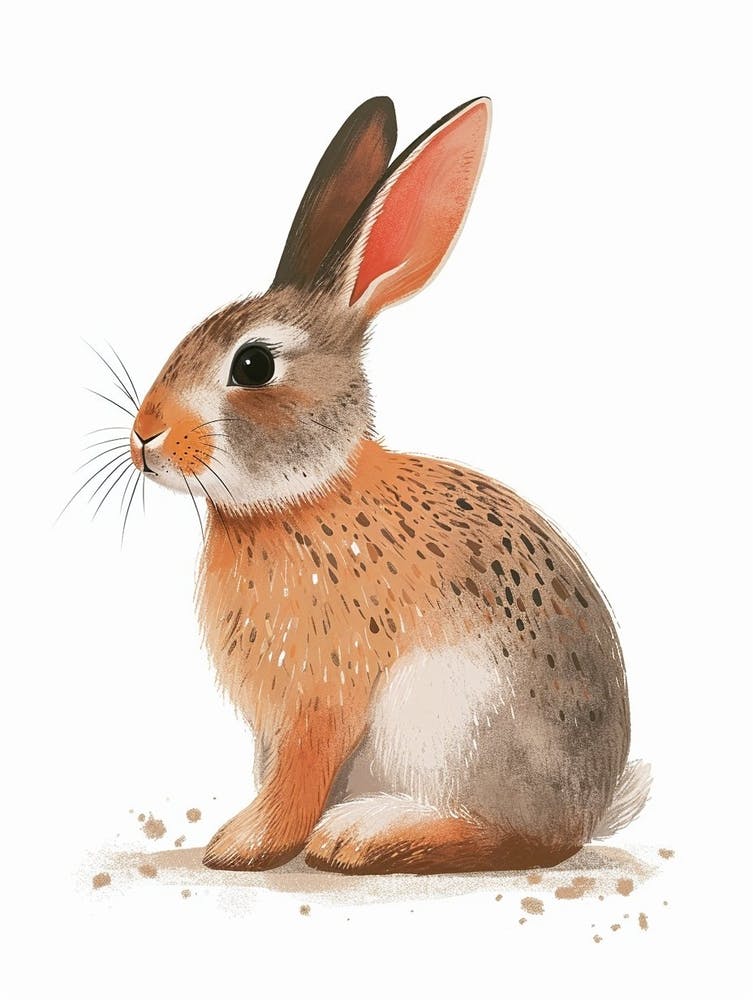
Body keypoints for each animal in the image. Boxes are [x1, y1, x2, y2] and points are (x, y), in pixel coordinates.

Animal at [128, 95, 650, 873]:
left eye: (253, 365)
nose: (145, 438)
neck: (304, 495)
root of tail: (586, 815)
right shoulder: (275, 725)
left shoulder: (318, 701)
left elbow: (298, 777)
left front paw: (243, 846)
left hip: (456, 718)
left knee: (502, 837)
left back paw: (365, 834)